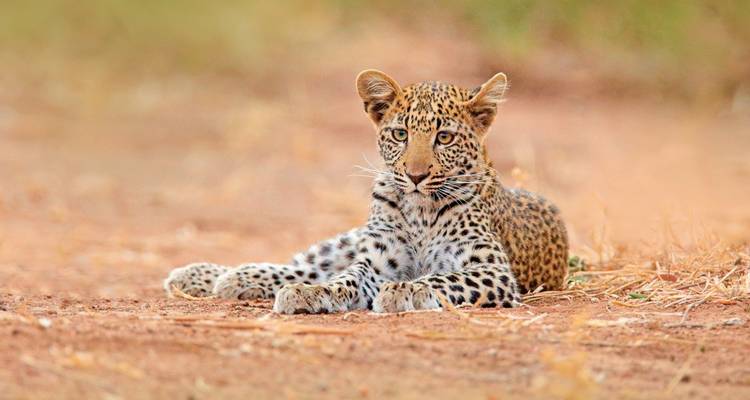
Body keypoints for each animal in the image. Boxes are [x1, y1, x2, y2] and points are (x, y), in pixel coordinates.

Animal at [163, 69, 569, 314]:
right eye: (400, 134)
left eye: (444, 138)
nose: (415, 175)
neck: (421, 212)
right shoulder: (376, 261)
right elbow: (346, 279)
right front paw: (313, 295)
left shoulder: (493, 270)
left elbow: (444, 278)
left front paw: (406, 291)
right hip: (347, 241)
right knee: (306, 265)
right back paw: (212, 275)